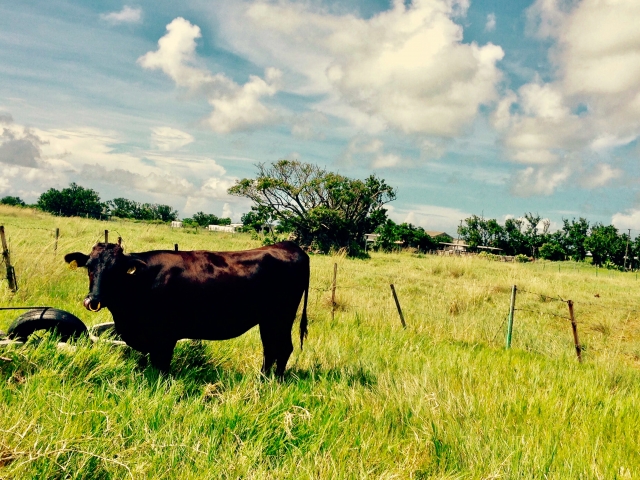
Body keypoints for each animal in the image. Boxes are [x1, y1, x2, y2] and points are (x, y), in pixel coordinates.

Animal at [63, 240, 308, 376]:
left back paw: (274, 382)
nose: (93, 300)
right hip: (268, 320)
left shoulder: (164, 337)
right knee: (270, 349)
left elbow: (161, 367)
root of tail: (288, 245)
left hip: (281, 317)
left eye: (117, 270)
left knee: (283, 349)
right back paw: (263, 379)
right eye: (89, 267)